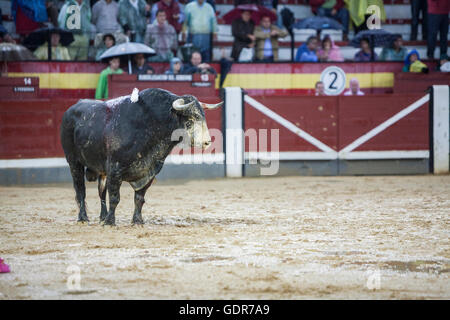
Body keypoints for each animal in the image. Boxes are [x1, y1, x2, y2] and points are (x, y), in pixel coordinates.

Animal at [59, 88, 221, 225]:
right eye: (190, 120)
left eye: (203, 117)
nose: (207, 142)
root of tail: (71, 110)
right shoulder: (115, 169)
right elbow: (114, 197)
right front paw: (111, 222)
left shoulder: (149, 171)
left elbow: (139, 198)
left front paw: (137, 221)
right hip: (74, 162)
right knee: (80, 190)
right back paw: (83, 218)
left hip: (101, 170)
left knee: (101, 193)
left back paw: (102, 217)